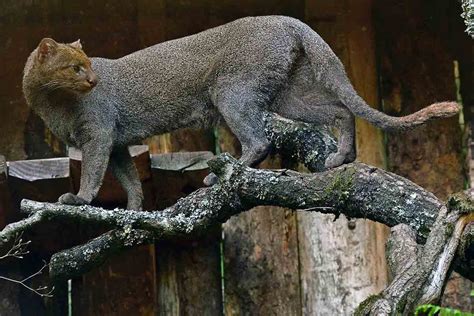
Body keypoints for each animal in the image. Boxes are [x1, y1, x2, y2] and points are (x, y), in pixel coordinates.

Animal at [22, 16, 460, 211]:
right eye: (74, 68)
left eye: (87, 65)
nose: (94, 79)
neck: (51, 103)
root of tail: (288, 19)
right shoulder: (116, 141)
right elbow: (128, 177)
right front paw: (133, 211)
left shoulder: (98, 134)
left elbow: (94, 172)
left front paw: (78, 199)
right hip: (286, 94)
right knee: (339, 110)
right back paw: (340, 157)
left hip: (231, 93)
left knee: (260, 140)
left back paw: (218, 176)